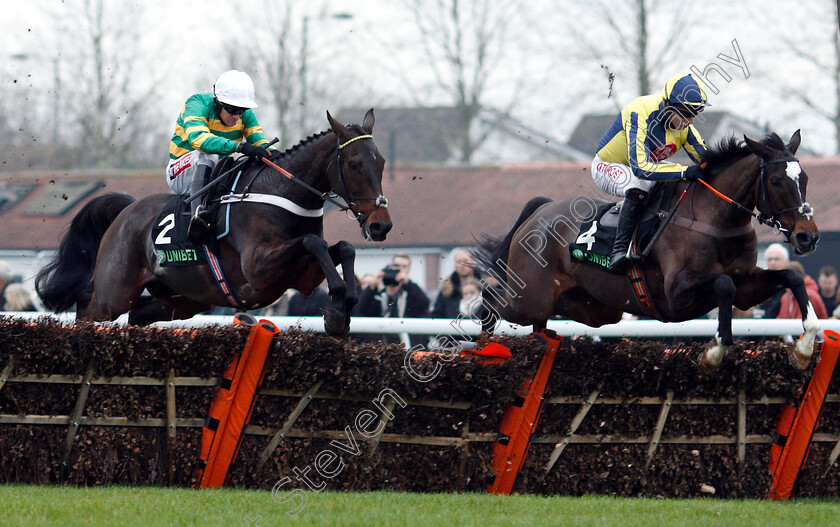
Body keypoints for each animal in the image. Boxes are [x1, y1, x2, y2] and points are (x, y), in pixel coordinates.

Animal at [37, 109, 394, 336]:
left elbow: (343, 248)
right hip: (114, 291)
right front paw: (338, 301)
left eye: (381, 162)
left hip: (185, 298)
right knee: (87, 305)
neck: (282, 192)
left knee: (137, 314)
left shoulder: (302, 275)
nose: (381, 226)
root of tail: (127, 210)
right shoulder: (258, 270)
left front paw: (341, 308)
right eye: (354, 163)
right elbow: (313, 241)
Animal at [480, 132, 820, 372]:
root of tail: (541, 212)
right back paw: (486, 347)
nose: (808, 237)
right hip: (530, 298)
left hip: (591, 308)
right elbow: (724, 284)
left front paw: (803, 351)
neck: (713, 218)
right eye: (775, 180)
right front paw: (712, 353)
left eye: (804, 178)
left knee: (540, 324)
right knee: (489, 299)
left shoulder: (747, 286)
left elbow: (791, 278)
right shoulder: (677, 294)